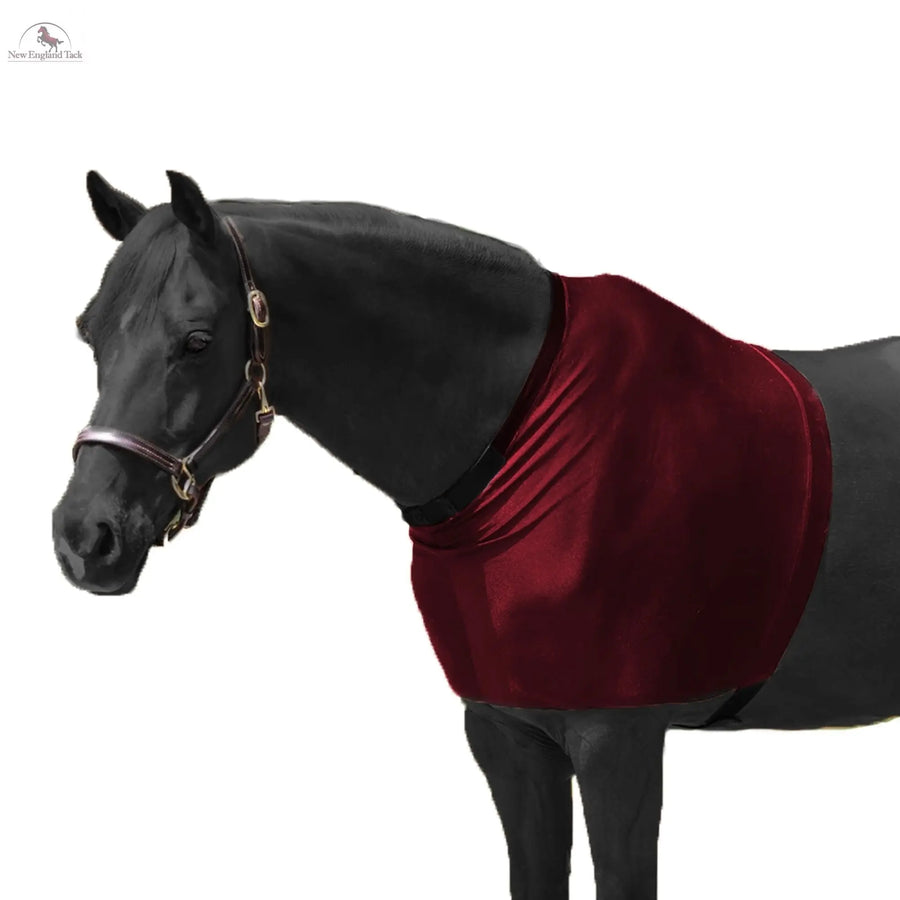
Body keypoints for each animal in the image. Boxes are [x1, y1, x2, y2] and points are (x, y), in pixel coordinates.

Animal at [52, 170, 900, 900]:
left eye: (197, 339)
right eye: (89, 333)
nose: (84, 536)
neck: (522, 438)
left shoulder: (619, 742)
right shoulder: (507, 734)